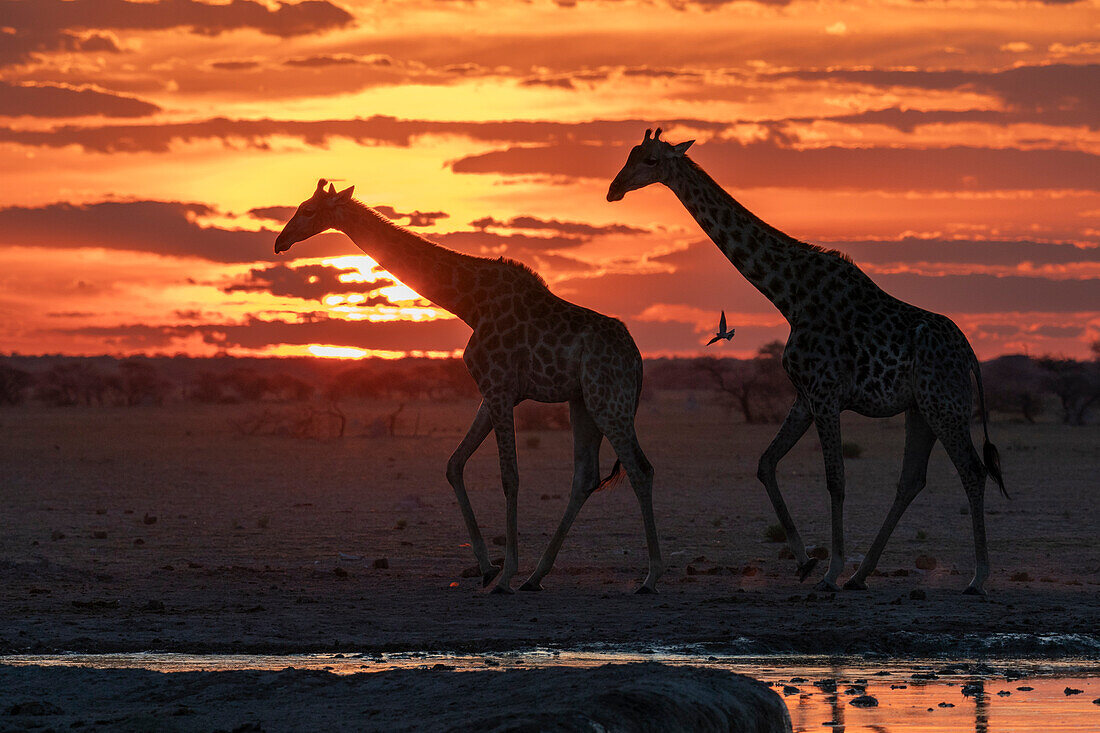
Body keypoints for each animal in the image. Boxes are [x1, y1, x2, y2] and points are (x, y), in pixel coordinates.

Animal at [277, 178, 660, 594]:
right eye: (298, 206)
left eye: (308, 211)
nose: (281, 241)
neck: (470, 304)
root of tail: (637, 359)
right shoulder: (494, 392)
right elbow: (454, 464)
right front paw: (488, 567)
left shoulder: (499, 387)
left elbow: (509, 476)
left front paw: (504, 575)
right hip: (584, 402)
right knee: (586, 476)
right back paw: (537, 576)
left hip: (610, 400)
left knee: (640, 469)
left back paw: (650, 577)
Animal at [611, 127, 1007, 594]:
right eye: (630, 154)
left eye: (651, 160)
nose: (614, 189)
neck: (789, 294)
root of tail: (971, 355)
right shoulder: (805, 396)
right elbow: (766, 464)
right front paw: (806, 563)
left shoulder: (825, 393)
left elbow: (835, 479)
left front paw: (829, 571)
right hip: (921, 410)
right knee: (911, 480)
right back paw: (861, 574)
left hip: (945, 405)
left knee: (973, 472)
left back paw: (977, 577)